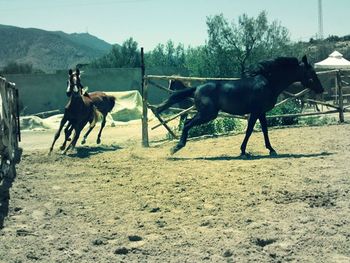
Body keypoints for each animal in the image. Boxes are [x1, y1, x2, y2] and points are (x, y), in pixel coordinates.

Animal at [154, 54, 324, 156]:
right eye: (311, 73)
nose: (321, 89)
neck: (268, 82)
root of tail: (197, 88)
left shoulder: (261, 112)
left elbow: (264, 130)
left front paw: (271, 149)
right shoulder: (255, 112)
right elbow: (249, 131)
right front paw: (244, 151)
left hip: (206, 114)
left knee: (187, 122)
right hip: (208, 114)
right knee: (187, 123)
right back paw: (176, 147)